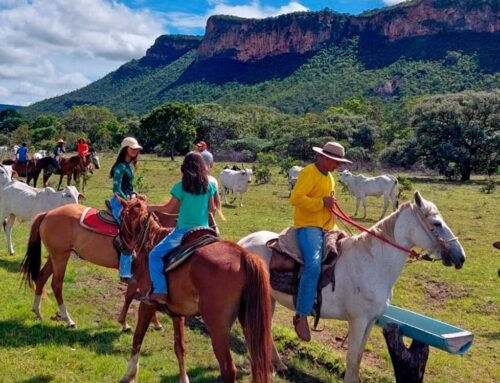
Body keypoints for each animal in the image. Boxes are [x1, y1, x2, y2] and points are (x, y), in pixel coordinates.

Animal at [19, 204, 173, 332]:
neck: (153, 237)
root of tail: (47, 213)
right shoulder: (139, 275)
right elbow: (133, 297)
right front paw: (126, 323)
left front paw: (153, 322)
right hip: (60, 257)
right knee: (56, 285)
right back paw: (68, 320)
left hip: (55, 257)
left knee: (41, 278)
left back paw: (37, 312)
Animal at [237, 192, 464, 383]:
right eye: (436, 223)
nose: (460, 257)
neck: (372, 262)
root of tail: (243, 242)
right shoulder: (358, 320)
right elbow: (353, 358)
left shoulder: (371, 321)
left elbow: (359, 356)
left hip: (270, 297)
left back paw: (278, 364)